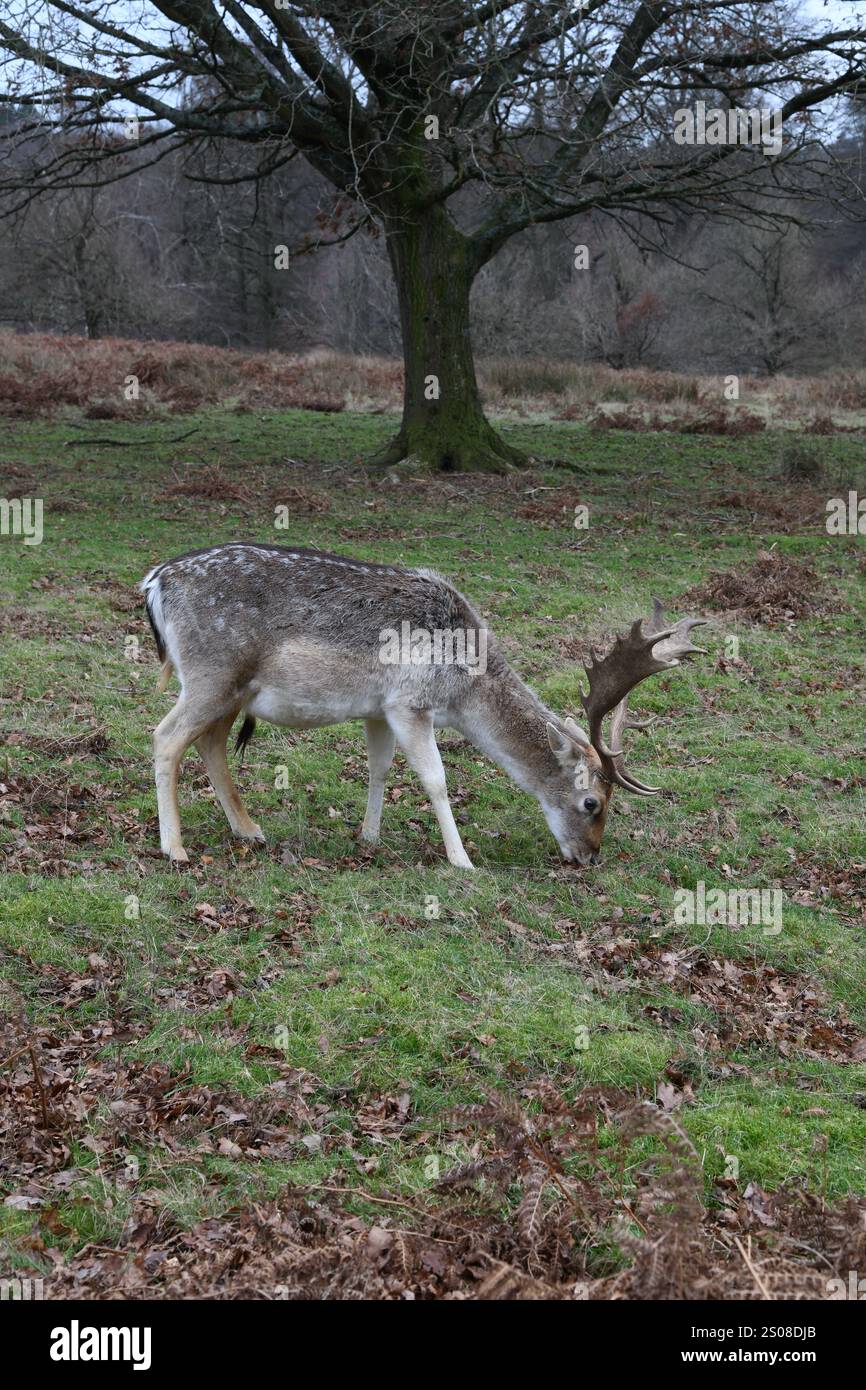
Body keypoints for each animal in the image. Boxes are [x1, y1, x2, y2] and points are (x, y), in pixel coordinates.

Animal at [140, 543, 706, 869]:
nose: (590, 857)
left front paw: (368, 837)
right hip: (211, 675)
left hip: (232, 690)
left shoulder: (378, 708)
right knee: (166, 736)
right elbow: (435, 779)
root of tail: (153, 583)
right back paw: (175, 847)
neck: (463, 685)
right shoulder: (410, 702)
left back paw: (250, 830)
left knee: (210, 744)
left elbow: (378, 769)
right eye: (592, 802)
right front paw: (461, 860)